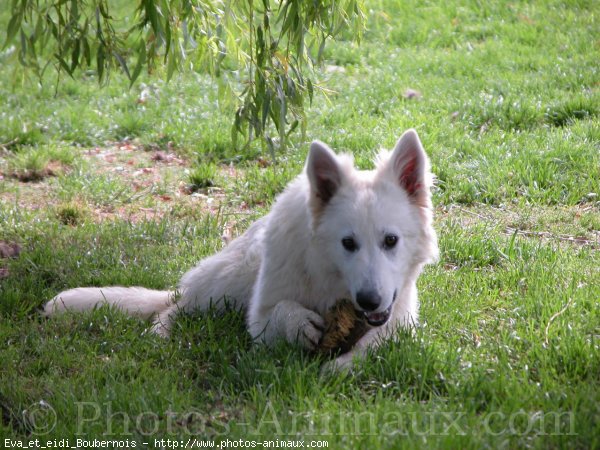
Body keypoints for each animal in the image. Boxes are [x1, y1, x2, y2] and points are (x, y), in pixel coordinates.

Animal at [44, 129, 438, 370]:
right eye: (348, 243)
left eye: (391, 241)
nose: (369, 301)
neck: (332, 279)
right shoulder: (259, 320)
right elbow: (278, 311)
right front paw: (297, 324)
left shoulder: (400, 321)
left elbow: (376, 343)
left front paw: (341, 367)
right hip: (229, 280)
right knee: (174, 306)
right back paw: (161, 333)